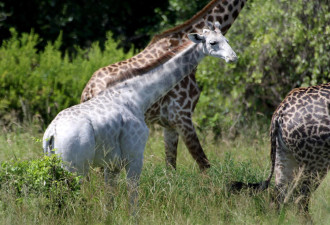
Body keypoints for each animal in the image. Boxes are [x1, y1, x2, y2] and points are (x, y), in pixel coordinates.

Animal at [80, 0, 248, 170]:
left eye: (227, 41)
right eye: (213, 43)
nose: (233, 57)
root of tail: (88, 91)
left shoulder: (169, 124)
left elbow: (170, 166)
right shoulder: (182, 116)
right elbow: (204, 164)